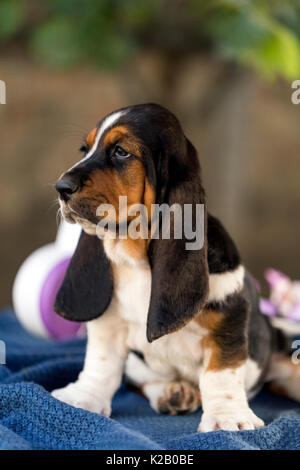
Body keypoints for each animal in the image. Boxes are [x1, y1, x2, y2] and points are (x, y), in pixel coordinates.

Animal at [52, 103, 298, 434]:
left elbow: (221, 373)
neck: (137, 258)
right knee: (143, 380)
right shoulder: (110, 324)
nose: (61, 187)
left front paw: (228, 418)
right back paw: (173, 392)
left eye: (120, 151)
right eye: (85, 149)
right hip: (137, 363)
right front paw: (82, 396)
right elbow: (101, 362)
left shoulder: (227, 323)